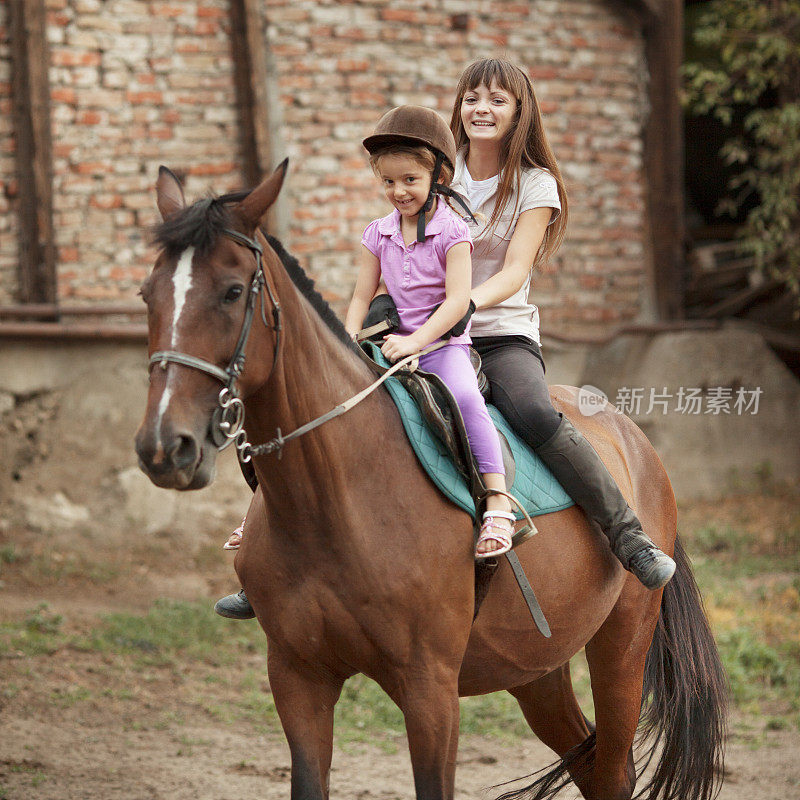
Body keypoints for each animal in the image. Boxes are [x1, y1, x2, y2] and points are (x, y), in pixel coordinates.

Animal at [136, 164, 724, 800]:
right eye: (148, 294)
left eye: (232, 292)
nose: (164, 446)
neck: (337, 497)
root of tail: (633, 439)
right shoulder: (297, 677)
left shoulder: (431, 690)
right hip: (534, 666)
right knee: (590, 763)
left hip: (622, 643)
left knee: (614, 769)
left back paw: (640, 551)